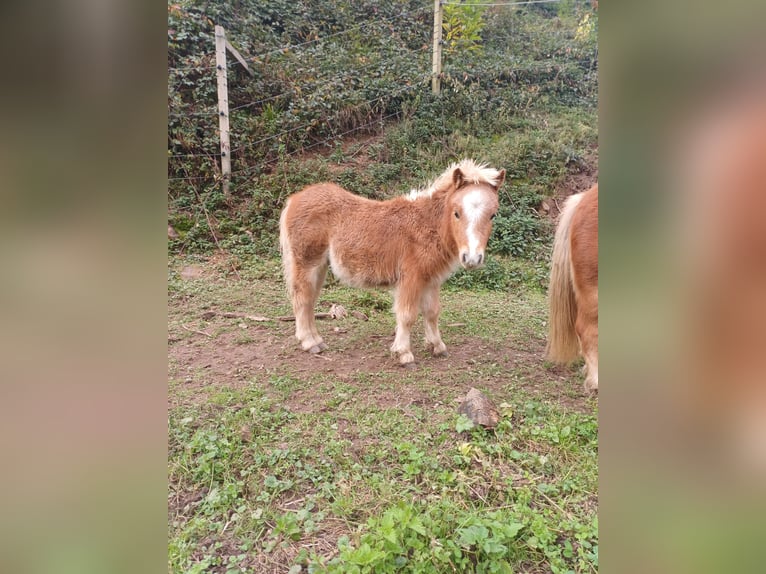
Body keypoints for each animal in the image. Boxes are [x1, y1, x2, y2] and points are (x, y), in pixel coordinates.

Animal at [280, 160, 508, 366]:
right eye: (457, 213)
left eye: (492, 215)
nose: (472, 258)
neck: (427, 225)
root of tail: (295, 199)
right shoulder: (411, 278)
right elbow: (407, 315)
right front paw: (404, 354)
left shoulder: (431, 280)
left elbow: (432, 312)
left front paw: (437, 346)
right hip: (307, 263)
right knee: (302, 298)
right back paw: (310, 343)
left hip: (320, 267)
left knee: (309, 300)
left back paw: (316, 340)